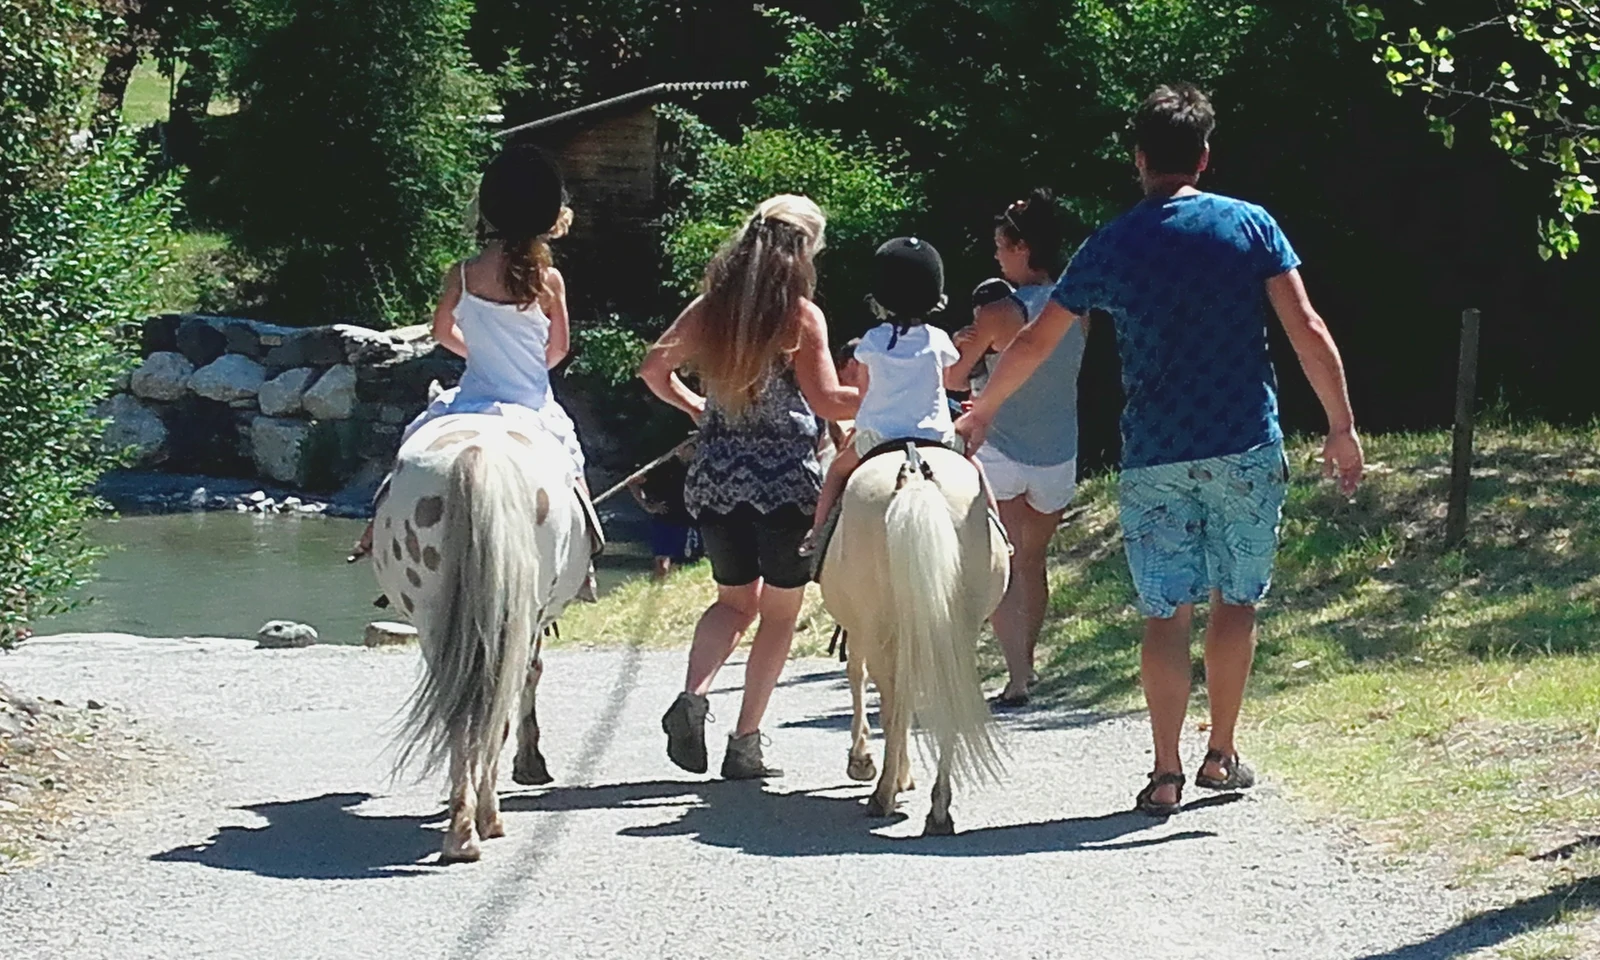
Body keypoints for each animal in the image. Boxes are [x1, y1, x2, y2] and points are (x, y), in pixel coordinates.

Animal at [377, 412, 592, 864]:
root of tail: (478, 455)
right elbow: (530, 681)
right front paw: (530, 763)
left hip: (435, 625)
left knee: (460, 715)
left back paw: (462, 830)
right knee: (495, 711)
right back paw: (486, 820)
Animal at [819, 444, 1004, 838]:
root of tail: (915, 471)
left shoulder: (863, 631)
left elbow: (860, 679)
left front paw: (864, 761)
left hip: (881, 629)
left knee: (893, 701)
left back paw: (884, 794)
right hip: (954, 632)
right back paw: (939, 811)